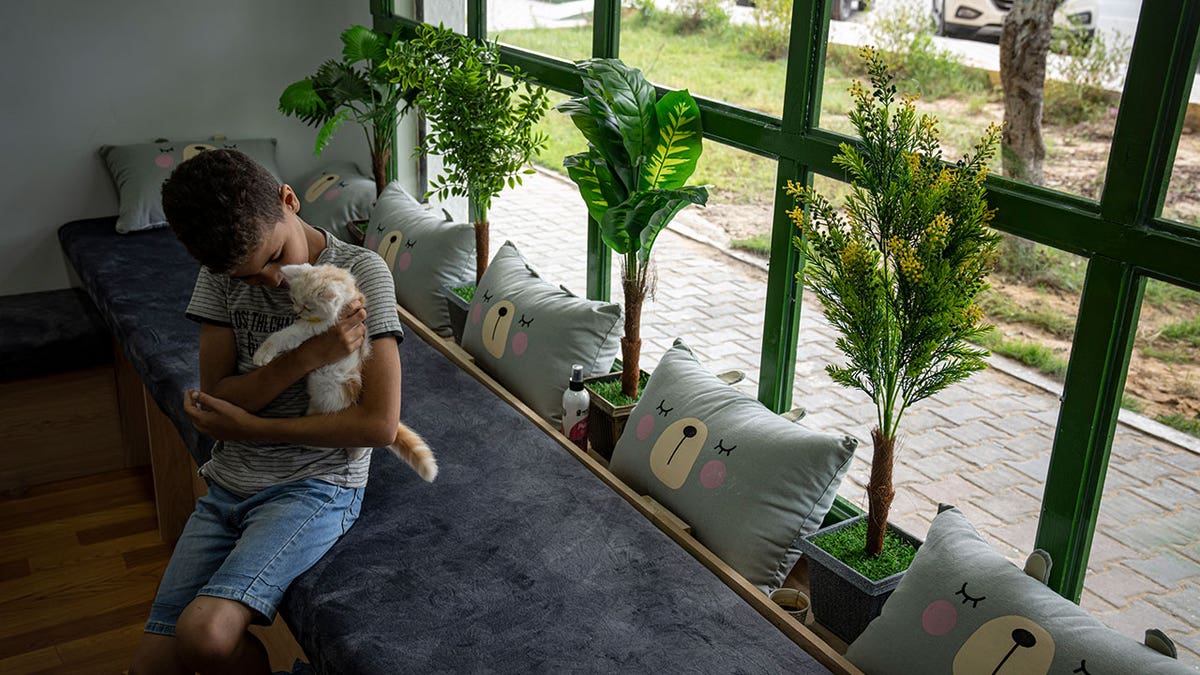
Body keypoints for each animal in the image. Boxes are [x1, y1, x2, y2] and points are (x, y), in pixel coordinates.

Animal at [252, 261, 436, 478]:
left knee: (336, 440)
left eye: (308, 306)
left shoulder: (317, 327)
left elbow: (283, 335)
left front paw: (262, 353)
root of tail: (354, 400)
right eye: (294, 299)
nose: (296, 311)